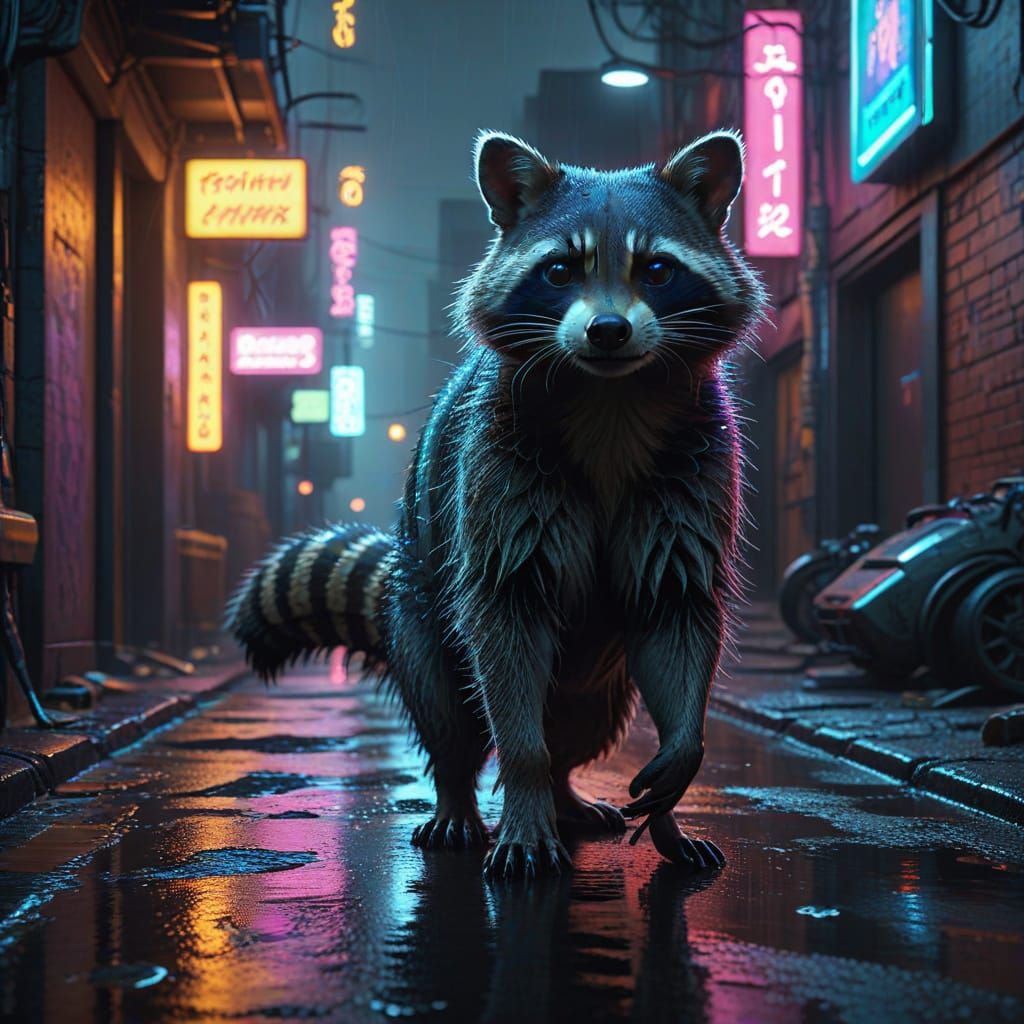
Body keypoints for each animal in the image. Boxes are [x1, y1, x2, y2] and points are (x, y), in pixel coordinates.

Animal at [227, 129, 767, 879]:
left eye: (658, 270)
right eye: (561, 269)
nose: (607, 330)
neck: (611, 398)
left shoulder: (695, 468)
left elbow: (678, 610)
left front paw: (675, 784)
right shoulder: (499, 474)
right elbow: (506, 628)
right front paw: (521, 790)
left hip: (600, 675)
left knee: (582, 720)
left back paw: (567, 789)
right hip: (423, 620)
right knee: (452, 712)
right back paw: (463, 793)